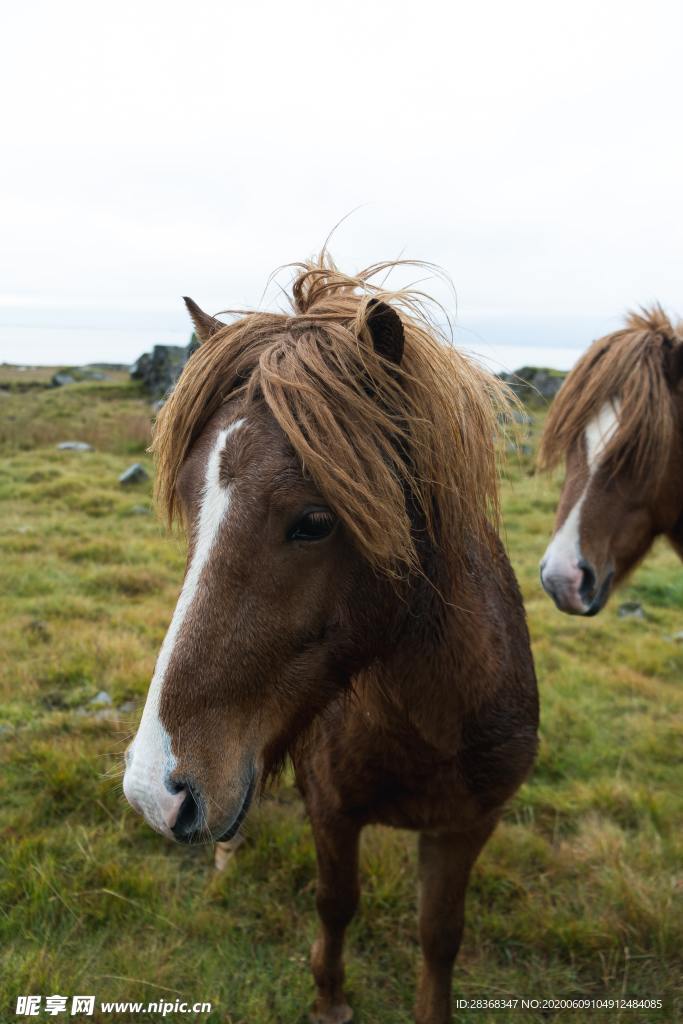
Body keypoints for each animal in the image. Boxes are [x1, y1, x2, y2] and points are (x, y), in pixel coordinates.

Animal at [123, 258, 538, 1024]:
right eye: (190, 503)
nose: (151, 790)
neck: (429, 723)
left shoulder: (467, 826)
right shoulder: (332, 811)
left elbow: (440, 935)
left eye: (315, 521)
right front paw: (329, 1000)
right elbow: (335, 903)